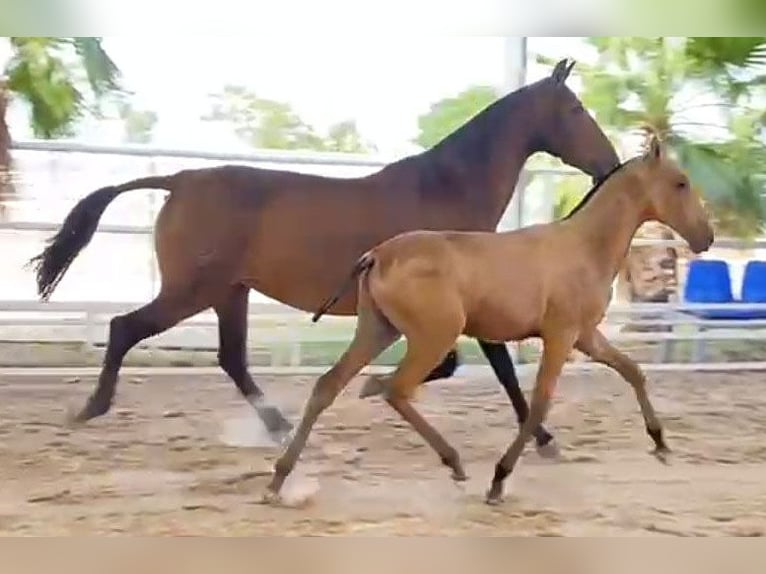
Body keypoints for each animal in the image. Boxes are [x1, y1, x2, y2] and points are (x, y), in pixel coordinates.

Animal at [27, 56, 620, 448]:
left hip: (229, 293)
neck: (445, 188)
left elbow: (471, 365)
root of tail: (178, 180)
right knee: (126, 328)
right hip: (192, 292)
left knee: (231, 358)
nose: (610, 165)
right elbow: (482, 366)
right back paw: (92, 408)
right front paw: (543, 437)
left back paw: (278, 427)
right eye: (573, 109)